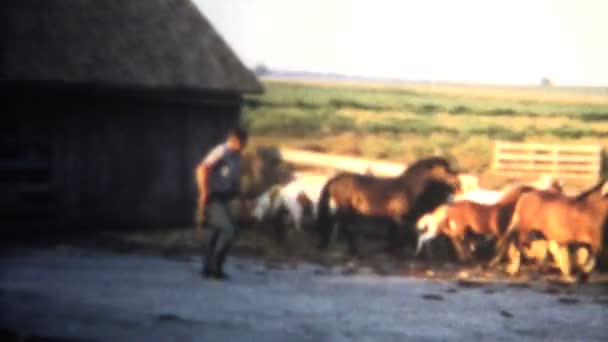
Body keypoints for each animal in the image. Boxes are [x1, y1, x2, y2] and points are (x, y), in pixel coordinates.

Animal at [316, 156, 458, 255]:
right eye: (446, 170)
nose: (458, 182)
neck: (408, 189)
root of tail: (335, 180)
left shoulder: (397, 218)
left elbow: (396, 233)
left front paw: (391, 249)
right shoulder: (401, 217)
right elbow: (408, 233)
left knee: (337, 223)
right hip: (345, 208)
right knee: (341, 225)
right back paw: (346, 248)